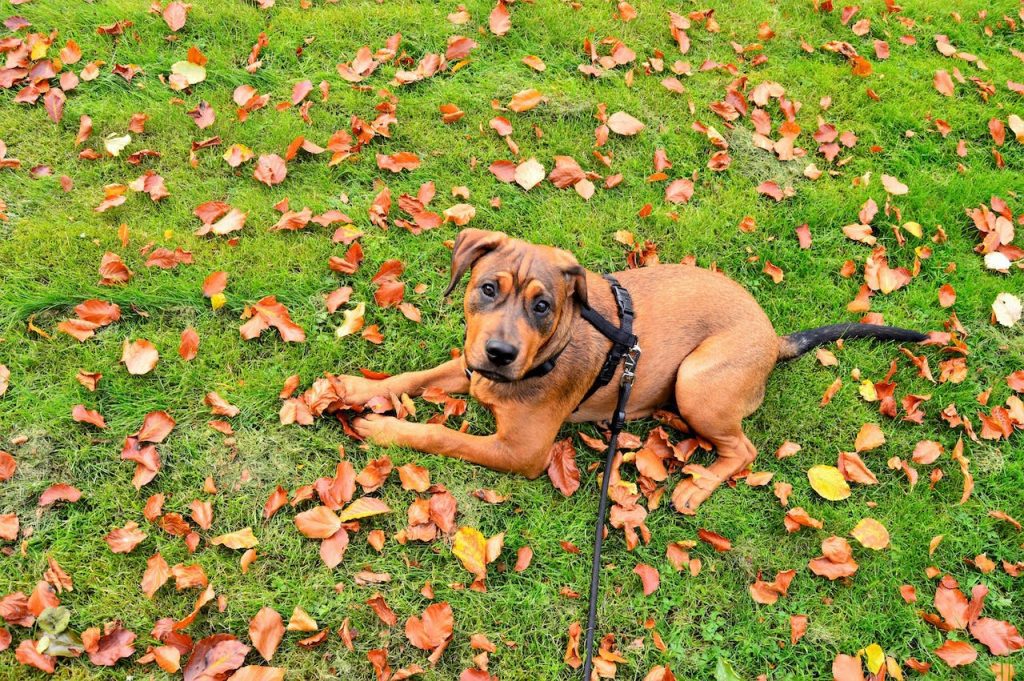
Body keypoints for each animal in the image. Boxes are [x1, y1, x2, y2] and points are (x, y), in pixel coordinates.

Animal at [346, 228, 929, 509]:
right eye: (488, 289)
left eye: (542, 306)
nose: (500, 354)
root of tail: (771, 337)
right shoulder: (467, 368)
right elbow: (414, 378)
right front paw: (354, 385)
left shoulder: (522, 452)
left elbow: (442, 436)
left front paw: (382, 428)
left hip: (697, 381)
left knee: (743, 448)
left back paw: (698, 485)